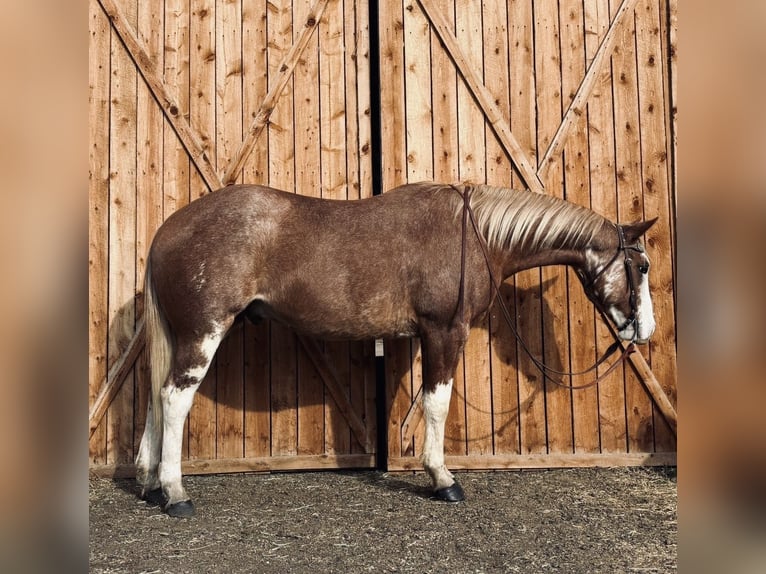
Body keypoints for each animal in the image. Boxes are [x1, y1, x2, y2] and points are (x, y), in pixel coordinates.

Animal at [135, 181, 657, 517]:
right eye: (643, 266)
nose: (645, 330)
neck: (473, 236)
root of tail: (167, 231)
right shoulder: (444, 332)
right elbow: (438, 404)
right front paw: (442, 479)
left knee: (156, 399)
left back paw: (149, 482)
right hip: (203, 333)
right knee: (173, 399)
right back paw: (175, 492)